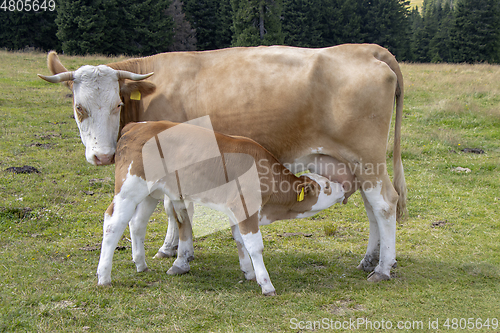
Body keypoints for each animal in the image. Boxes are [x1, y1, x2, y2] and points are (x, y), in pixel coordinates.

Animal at [95, 118, 344, 294]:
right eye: (326, 186)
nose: (342, 188)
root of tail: (135, 126)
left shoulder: (236, 210)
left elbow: (240, 240)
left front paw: (248, 272)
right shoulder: (245, 207)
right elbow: (255, 246)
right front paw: (266, 284)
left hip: (150, 193)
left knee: (137, 223)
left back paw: (141, 264)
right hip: (129, 189)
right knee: (113, 223)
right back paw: (104, 277)